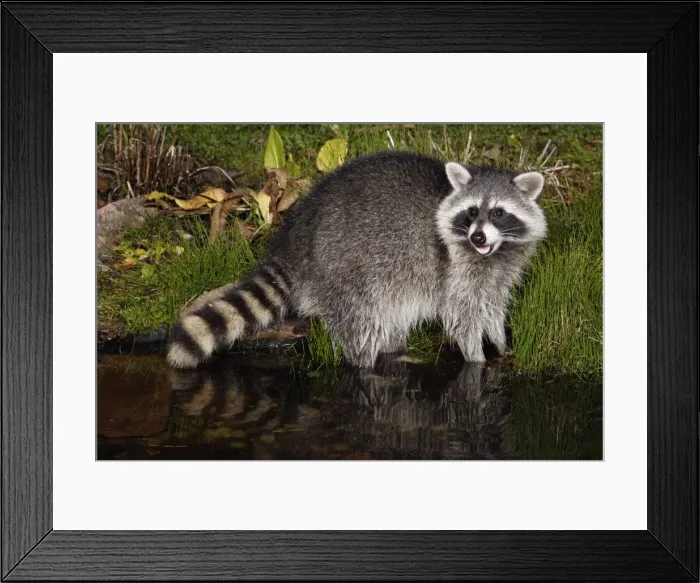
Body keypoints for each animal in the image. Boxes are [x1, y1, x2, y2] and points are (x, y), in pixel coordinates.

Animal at [167, 151, 547, 369]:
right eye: (470, 212)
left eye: (498, 212)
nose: (477, 237)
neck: (493, 254)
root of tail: (295, 238)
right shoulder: (455, 271)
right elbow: (461, 317)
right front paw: (476, 358)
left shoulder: (499, 271)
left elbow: (492, 305)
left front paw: (499, 342)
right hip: (346, 271)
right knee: (362, 327)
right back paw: (366, 365)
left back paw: (396, 352)